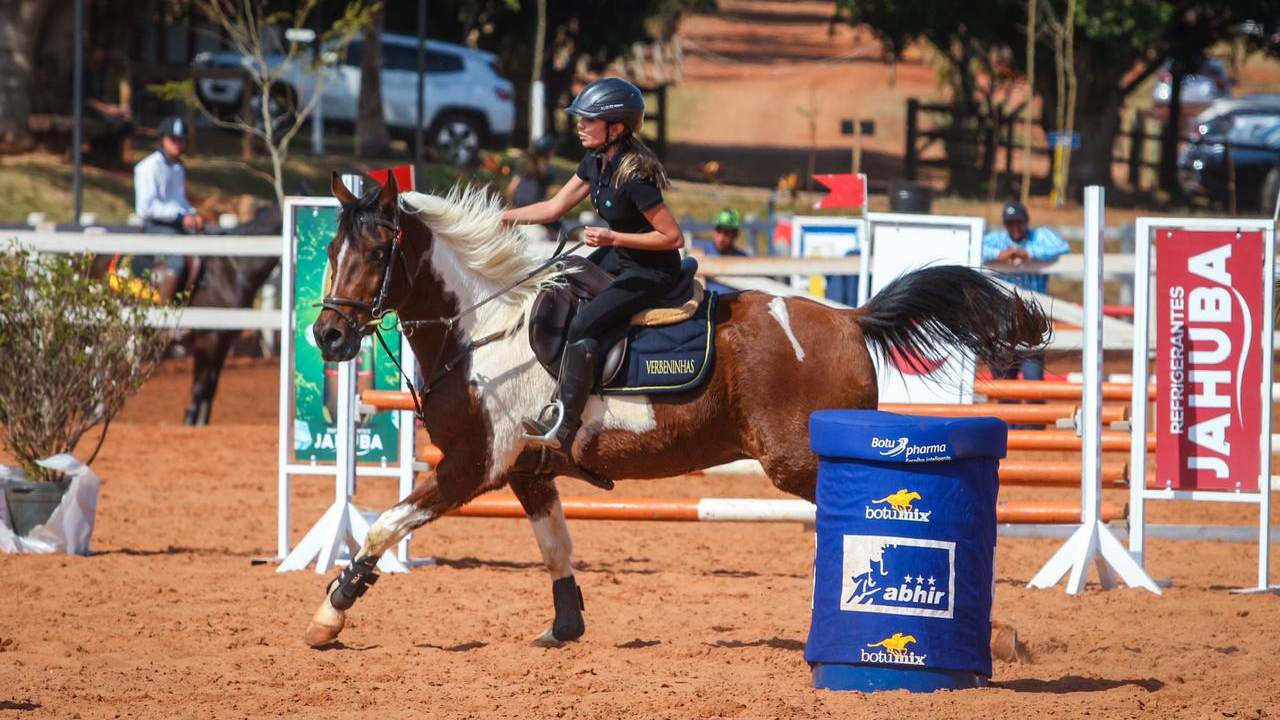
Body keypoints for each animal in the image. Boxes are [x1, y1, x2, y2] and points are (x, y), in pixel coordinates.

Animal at [302, 172, 1049, 645]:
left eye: (377, 251)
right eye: (332, 249)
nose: (328, 336)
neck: (481, 330)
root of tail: (849, 318)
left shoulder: (471, 466)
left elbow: (381, 527)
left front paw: (331, 613)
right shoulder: (527, 472)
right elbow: (555, 547)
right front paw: (566, 629)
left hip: (799, 462)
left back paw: (983, 630)